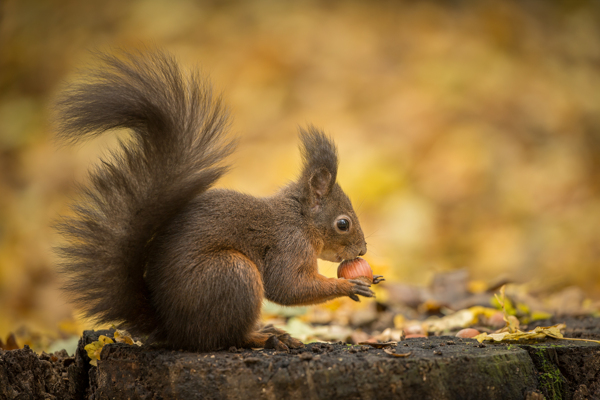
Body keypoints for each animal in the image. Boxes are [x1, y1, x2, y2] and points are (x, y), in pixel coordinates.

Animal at [54, 50, 378, 354]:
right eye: (343, 224)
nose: (362, 249)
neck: (299, 218)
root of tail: (173, 329)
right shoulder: (288, 244)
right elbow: (287, 286)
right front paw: (349, 285)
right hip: (232, 273)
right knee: (225, 337)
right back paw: (267, 337)